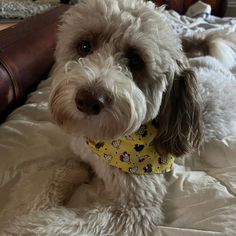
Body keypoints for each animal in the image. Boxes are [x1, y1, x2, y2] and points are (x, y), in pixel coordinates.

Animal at [5, 0, 236, 236]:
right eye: (85, 46)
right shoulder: (76, 155)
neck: (106, 141)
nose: (89, 100)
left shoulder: (133, 208)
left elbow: (59, 225)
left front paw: (21, 227)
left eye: (136, 60)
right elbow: (50, 177)